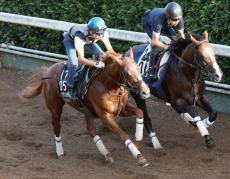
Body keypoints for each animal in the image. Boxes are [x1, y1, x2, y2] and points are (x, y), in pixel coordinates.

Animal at [18, 51, 151, 167]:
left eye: (139, 69)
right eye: (128, 73)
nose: (145, 92)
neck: (107, 84)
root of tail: (48, 71)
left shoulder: (122, 109)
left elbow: (140, 112)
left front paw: (138, 140)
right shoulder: (105, 115)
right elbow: (124, 135)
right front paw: (140, 158)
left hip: (87, 111)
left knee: (91, 130)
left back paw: (106, 155)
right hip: (55, 108)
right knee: (56, 126)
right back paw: (60, 152)